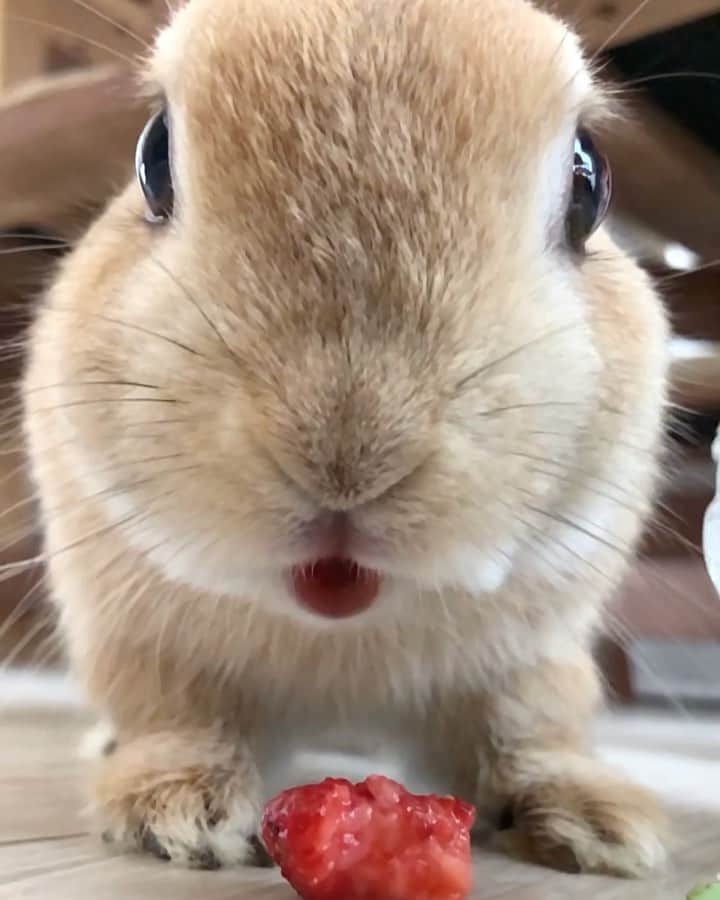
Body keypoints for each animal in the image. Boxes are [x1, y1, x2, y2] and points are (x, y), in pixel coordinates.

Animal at [22, 0, 669, 878]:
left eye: (589, 182)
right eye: (152, 158)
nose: (347, 456)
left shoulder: (533, 652)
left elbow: (529, 726)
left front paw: (601, 825)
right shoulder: (143, 641)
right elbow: (179, 714)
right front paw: (178, 814)